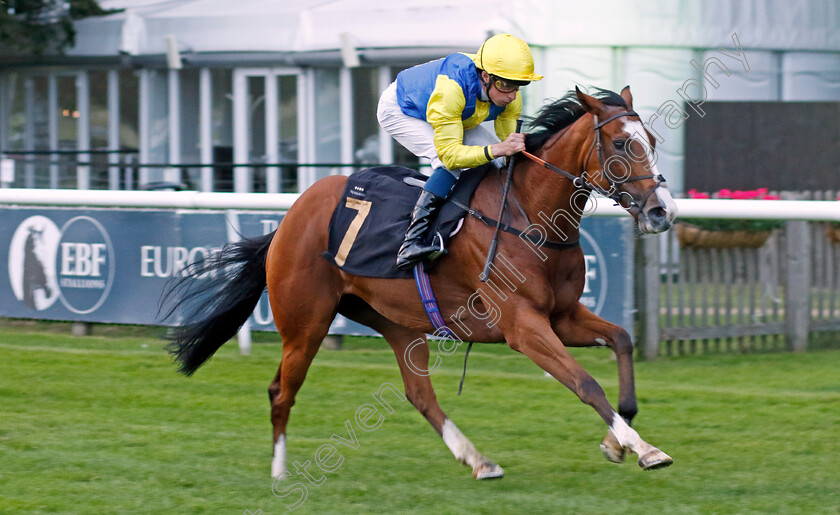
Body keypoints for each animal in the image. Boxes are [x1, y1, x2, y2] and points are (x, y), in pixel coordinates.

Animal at [162, 85, 676, 480]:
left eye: (650, 139)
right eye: (620, 144)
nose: (662, 212)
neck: (529, 217)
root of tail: (289, 218)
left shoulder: (563, 316)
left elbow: (623, 340)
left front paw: (617, 442)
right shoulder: (523, 326)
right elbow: (585, 383)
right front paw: (646, 449)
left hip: (395, 320)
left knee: (419, 394)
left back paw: (478, 460)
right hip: (305, 322)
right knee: (281, 391)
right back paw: (280, 471)